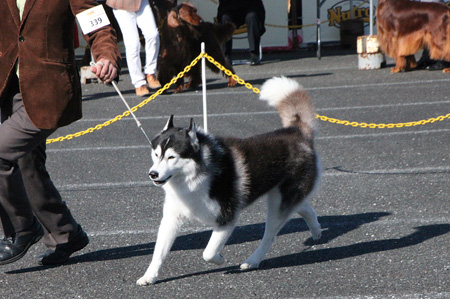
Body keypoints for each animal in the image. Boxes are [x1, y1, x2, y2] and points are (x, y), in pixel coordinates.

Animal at [135, 77, 322, 286]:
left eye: (171, 157)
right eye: (156, 154)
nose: (152, 174)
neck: (193, 179)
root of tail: (297, 131)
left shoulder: (227, 217)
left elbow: (208, 252)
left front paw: (219, 259)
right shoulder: (171, 218)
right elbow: (158, 253)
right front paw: (149, 276)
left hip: (277, 205)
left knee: (270, 235)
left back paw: (253, 260)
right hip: (280, 197)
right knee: (304, 207)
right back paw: (316, 230)